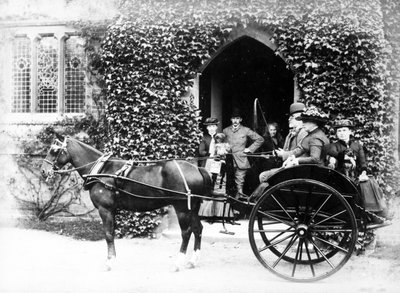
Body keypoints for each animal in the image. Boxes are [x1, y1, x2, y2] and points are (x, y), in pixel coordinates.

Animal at [40, 136, 212, 270]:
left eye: (54, 150)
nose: (43, 171)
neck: (102, 170)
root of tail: (197, 169)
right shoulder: (112, 210)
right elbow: (112, 233)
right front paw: (113, 258)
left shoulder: (105, 209)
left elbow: (108, 234)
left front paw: (109, 262)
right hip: (193, 208)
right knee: (198, 229)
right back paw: (193, 261)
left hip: (182, 208)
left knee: (186, 232)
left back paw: (178, 262)